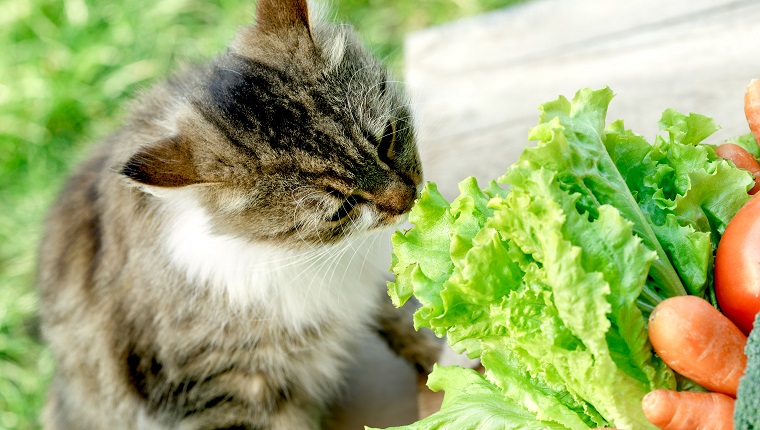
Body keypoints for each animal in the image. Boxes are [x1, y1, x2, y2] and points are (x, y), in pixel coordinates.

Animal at [37, 1, 440, 428]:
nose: (409, 199)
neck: (297, 254)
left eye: (387, 140)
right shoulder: (228, 389)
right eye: (340, 209)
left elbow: (409, 318)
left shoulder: (370, 287)